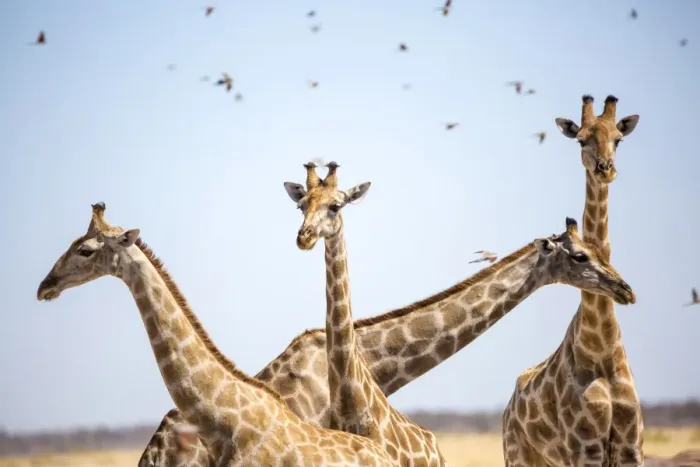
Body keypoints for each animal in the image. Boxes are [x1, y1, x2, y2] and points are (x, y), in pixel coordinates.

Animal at [502, 95, 641, 467]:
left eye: (618, 139)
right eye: (581, 140)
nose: (606, 169)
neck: (603, 347)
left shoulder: (631, 446)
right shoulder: (585, 447)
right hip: (519, 456)